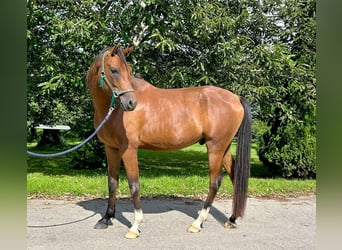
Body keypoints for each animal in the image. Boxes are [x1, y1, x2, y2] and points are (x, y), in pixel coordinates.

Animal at [86, 44, 251, 238]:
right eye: (114, 70)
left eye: (129, 71)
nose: (131, 103)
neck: (113, 111)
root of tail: (235, 97)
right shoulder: (111, 148)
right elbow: (112, 183)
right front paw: (106, 218)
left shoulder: (129, 150)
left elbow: (134, 185)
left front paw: (135, 226)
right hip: (224, 148)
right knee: (234, 176)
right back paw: (231, 219)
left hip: (215, 147)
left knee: (215, 181)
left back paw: (197, 223)